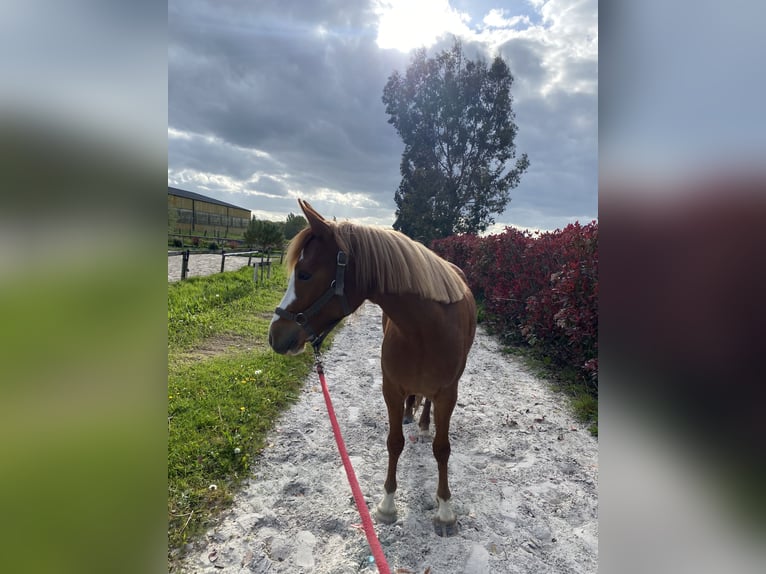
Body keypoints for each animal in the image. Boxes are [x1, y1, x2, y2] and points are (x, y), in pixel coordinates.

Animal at [268, 200, 476, 536]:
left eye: (304, 274)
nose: (275, 336)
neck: (425, 331)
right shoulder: (390, 388)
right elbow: (394, 442)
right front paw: (387, 505)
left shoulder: (448, 394)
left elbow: (442, 448)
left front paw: (445, 509)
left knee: (427, 407)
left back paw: (423, 423)